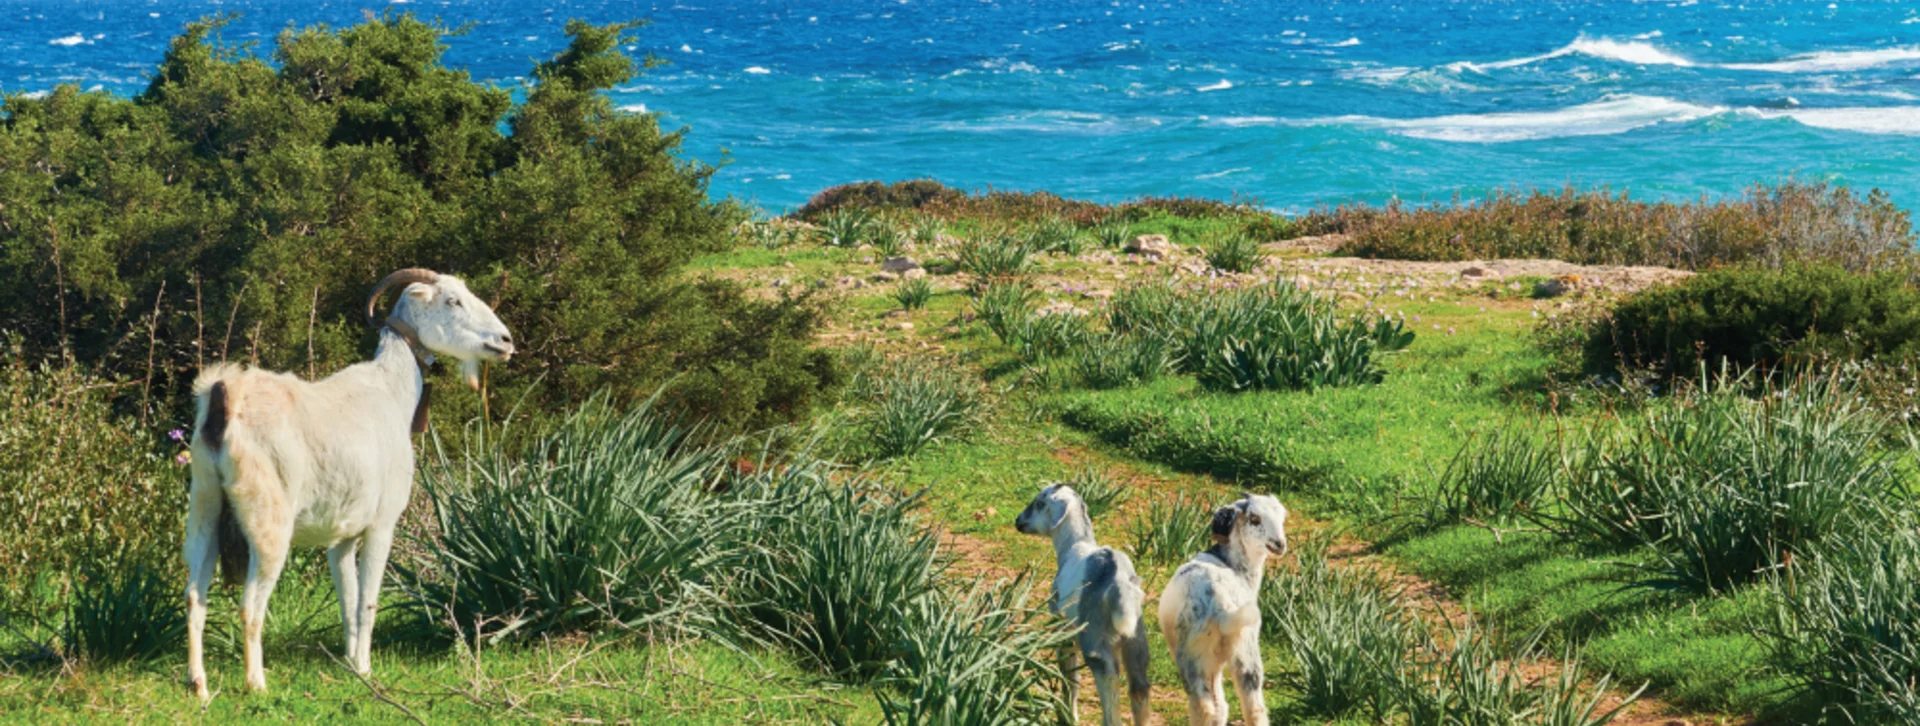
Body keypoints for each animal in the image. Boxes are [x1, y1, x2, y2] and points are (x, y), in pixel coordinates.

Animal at [182, 268, 513, 700]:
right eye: (452, 300)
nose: (504, 342)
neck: (391, 390)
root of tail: (225, 397)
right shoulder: (382, 526)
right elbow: (368, 601)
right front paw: (367, 670)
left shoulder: (339, 539)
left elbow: (349, 602)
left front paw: (352, 664)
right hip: (268, 522)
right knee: (250, 605)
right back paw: (256, 683)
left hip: (204, 505)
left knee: (194, 596)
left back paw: (198, 684)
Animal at [1015, 483, 1151, 726]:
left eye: (1039, 503)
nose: (1018, 521)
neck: (1075, 545)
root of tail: (1118, 581)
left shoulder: (1063, 630)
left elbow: (1070, 677)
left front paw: (1068, 716)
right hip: (1135, 636)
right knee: (1139, 685)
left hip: (1093, 636)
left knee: (1107, 677)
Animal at [1157, 493, 1288, 726]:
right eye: (1254, 519)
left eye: (1282, 517)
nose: (1279, 544)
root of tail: (1221, 605)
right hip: (1243, 647)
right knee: (1252, 706)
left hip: (1194, 656)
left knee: (1208, 706)